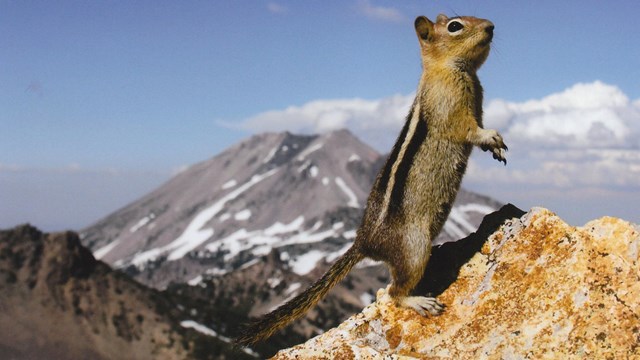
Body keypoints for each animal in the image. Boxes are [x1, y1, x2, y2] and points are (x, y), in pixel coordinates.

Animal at [235, 13, 504, 346]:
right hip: (415, 248)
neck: (448, 70)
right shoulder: (452, 108)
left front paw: (496, 148)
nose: (491, 27)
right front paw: (491, 136)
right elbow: (468, 129)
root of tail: (364, 242)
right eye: (455, 26)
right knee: (394, 293)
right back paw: (420, 301)